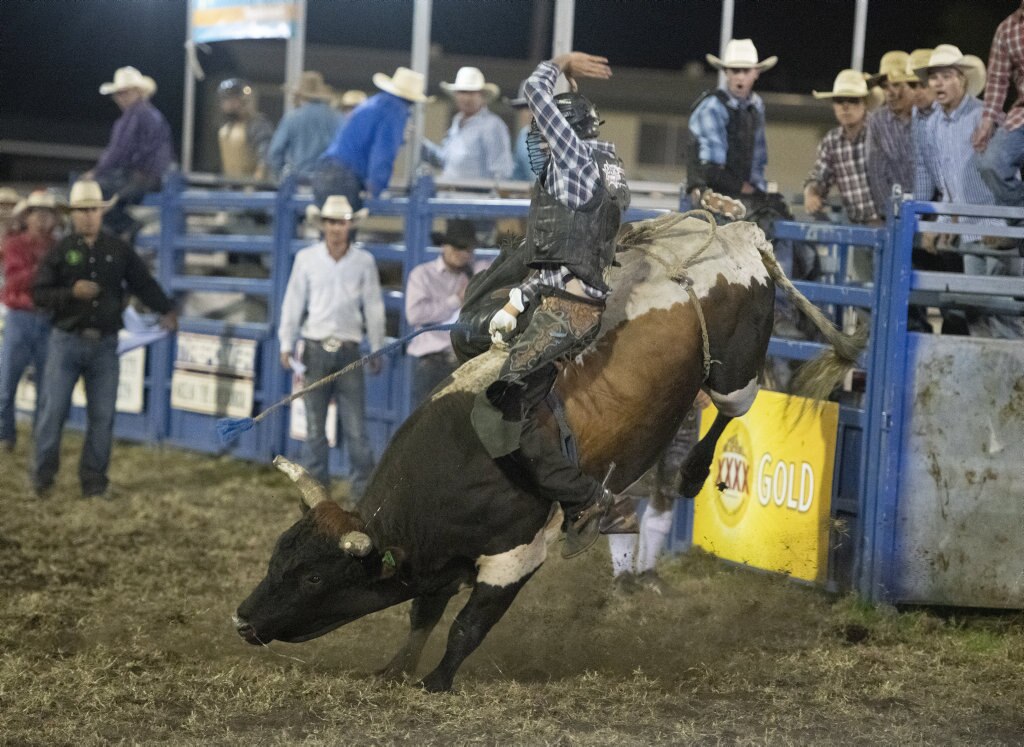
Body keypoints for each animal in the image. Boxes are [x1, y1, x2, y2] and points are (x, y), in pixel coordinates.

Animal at [234, 210, 864, 688]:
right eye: (278, 556)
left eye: (314, 579)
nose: (242, 620)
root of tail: (742, 235)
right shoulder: (442, 563)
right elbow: (423, 614)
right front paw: (395, 669)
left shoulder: (515, 556)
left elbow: (467, 626)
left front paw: (435, 682)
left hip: (735, 371)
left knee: (731, 410)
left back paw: (689, 473)